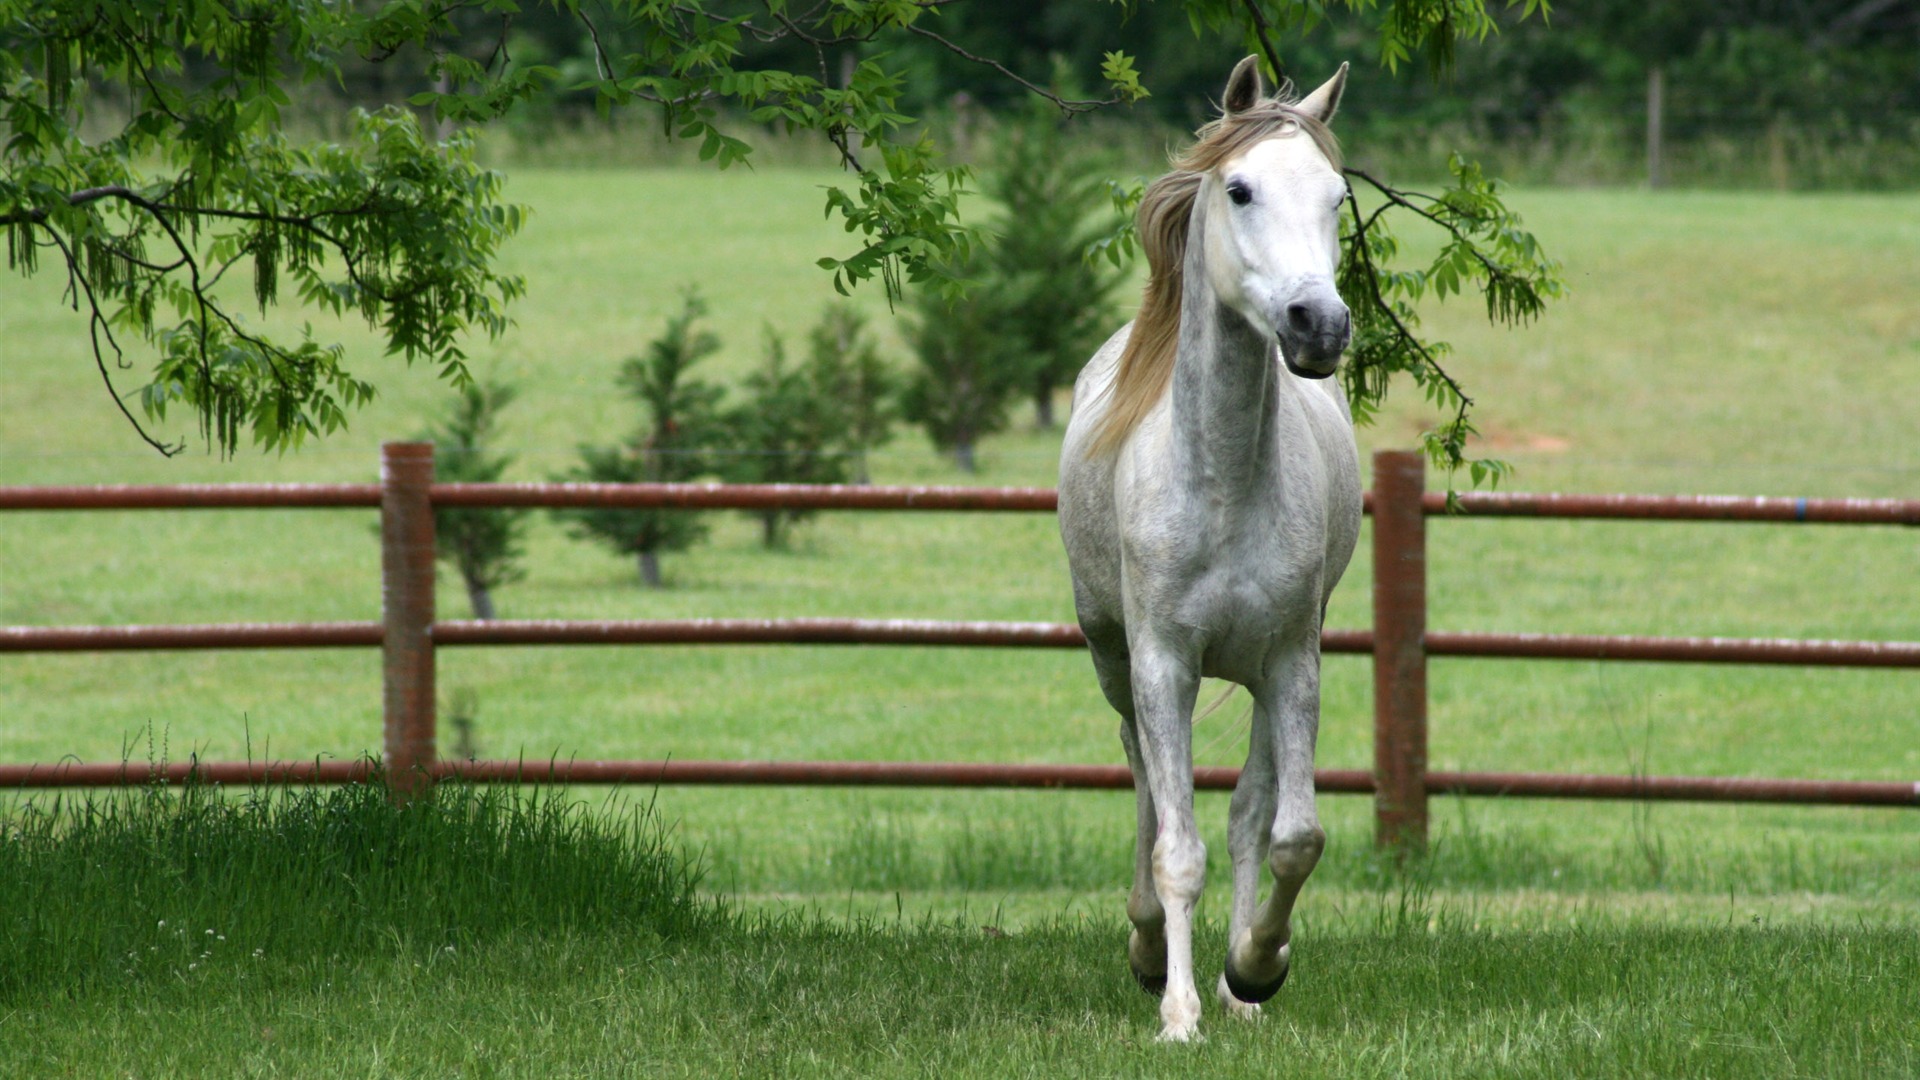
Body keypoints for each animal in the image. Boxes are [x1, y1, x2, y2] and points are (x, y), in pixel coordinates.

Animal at [1052, 56, 1367, 1037]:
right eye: (1240, 189)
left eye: (1337, 197)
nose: (1318, 326)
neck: (1223, 484)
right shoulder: (1163, 664)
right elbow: (1176, 846)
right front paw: (1179, 1013)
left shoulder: (1292, 662)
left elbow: (1288, 834)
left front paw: (1255, 969)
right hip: (1115, 662)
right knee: (1147, 790)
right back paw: (1152, 952)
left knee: (1247, 813)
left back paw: (1234, 988)